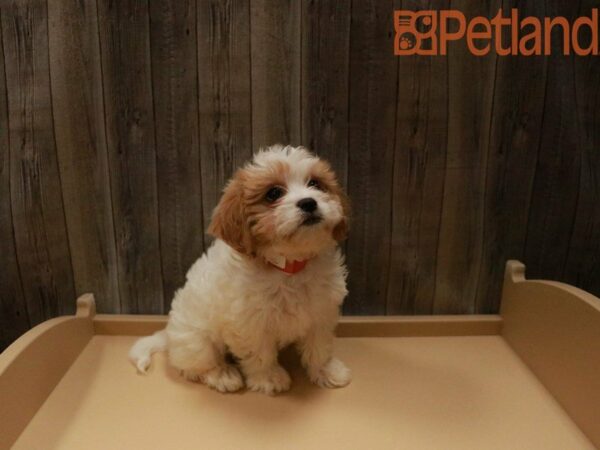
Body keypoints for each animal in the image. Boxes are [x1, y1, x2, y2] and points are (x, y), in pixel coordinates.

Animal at [127, 144, 352, 394]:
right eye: (274, 193)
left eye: (315, 184)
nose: (309, 202)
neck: (289, 266)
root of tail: (168, 336)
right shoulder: (249, 323)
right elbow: (260, 353)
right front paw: (269, 378)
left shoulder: (321, 313)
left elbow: (319, 346)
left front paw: (327, 371)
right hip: (197, 340)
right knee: (197, 365)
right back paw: (222, 375)